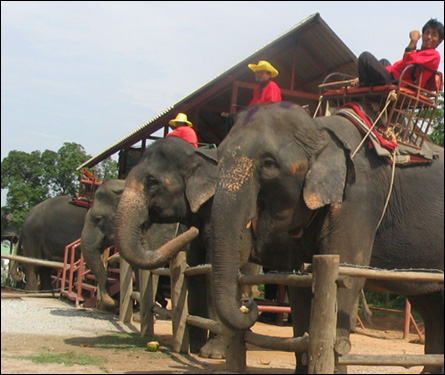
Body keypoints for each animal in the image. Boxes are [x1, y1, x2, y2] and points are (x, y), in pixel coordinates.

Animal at [114, 137, 260, 360]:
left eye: (152, 182)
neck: (198, 156)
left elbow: (213, 271)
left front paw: (212, 353)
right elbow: (194, 269)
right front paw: (195, 346)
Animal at [210, 101, 442, 374]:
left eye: (269, 164)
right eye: (218, 157)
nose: (248, 302)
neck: (319, 129)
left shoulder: (358, 197)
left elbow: (347, 276)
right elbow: (299, 281)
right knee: (431, 306)